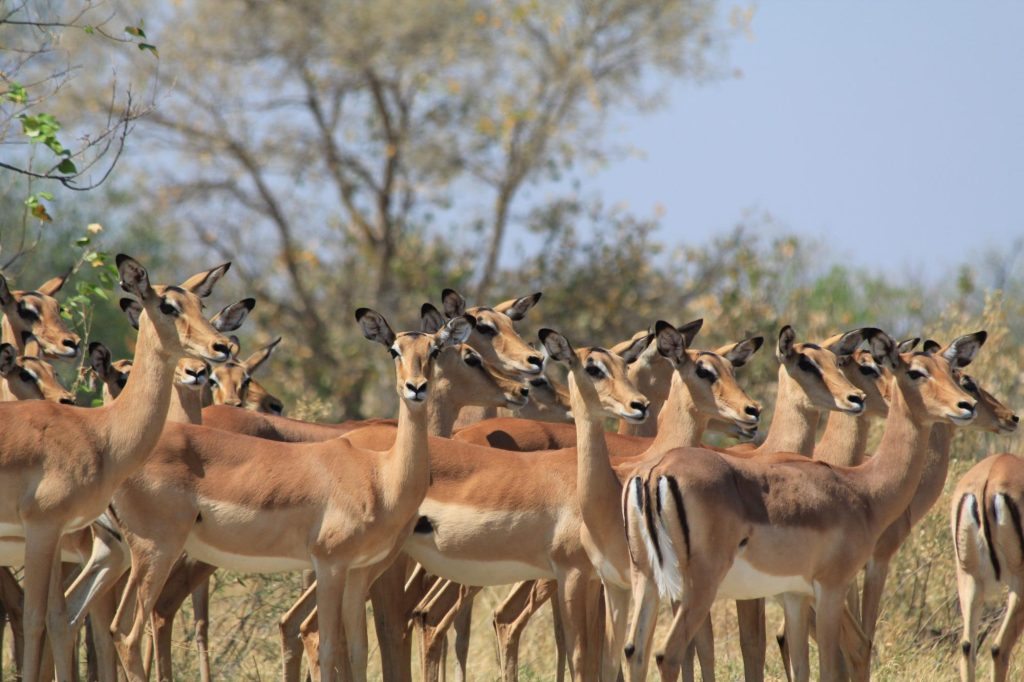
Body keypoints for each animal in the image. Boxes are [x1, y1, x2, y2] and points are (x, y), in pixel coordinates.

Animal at [0, 257, 237, 682]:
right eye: (167, 305)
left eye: (202, 305)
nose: (220, 348)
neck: (100, 432)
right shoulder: (42, 528)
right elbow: (33, 619)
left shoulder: (58, 533)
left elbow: (58, 617)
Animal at [624, 330, 985, 681]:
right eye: (916, 372)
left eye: (950, 370)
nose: (966, 406)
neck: (863, 488)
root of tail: (655, 472)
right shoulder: (831, 588)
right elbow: (831, 665)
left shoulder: (795, 595)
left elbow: (801, 665)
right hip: (700, 585)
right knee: (668, 653)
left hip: (647, 579)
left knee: (634, 650)